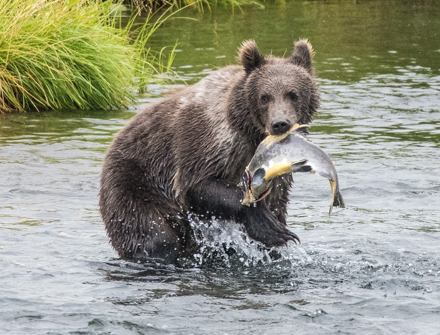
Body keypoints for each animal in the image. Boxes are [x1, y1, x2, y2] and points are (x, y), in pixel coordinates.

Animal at [99, 39, 320, 264]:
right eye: (264, 97)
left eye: (293, 94)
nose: (280, 123)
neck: (250, 132)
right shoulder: (209, 141)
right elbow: (197, 183)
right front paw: (273, 228)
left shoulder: (276, 167)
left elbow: (276, 200)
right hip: (135, 184)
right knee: (153, 235)